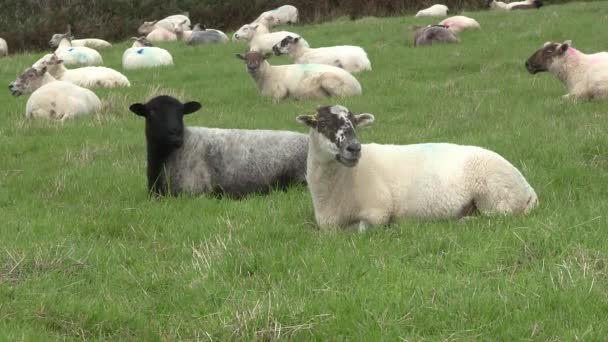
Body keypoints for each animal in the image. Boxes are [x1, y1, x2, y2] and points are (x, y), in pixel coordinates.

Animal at [296, 105, 540, 231]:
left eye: (355, 124)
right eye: (323, 124)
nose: (354, 148)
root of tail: (528, 190)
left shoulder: (378, 213)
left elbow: (360, 229)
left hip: (495, 196)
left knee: (499, 217)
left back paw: (465, 221)